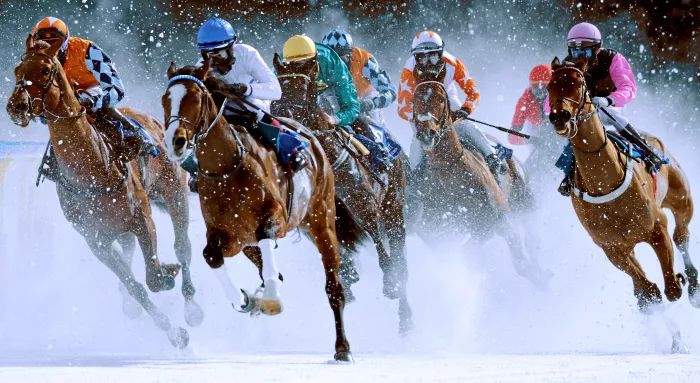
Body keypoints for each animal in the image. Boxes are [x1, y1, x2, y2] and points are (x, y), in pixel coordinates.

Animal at [6, 37, 200, 350]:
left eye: (46, 69)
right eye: (17, 69)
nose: (16, 106)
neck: (94, 168)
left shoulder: (142, 218)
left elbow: (154, 277)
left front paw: (168, 276)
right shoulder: (95, 240)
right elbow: (137, 287)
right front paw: (173, 332)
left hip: (174, 195)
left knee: (183, 247)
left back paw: (193, 307)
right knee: (129, 252)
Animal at [161, 62, 352, 364]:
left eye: (196, 98)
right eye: (165, 100)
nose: (175, 141)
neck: (227, 167)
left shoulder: (274, 218)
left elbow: (268, 241)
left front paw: (271, 299)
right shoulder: (228, 234)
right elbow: (211, 255)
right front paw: (244, 299)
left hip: (322, 221)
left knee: (334, 286)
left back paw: (342, 347)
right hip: (247, 241)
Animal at [266, 53, 410, 336]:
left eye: (304, 89)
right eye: (279, 85)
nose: (281, 116)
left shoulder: (364, 203)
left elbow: (377, 240)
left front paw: (389, 282)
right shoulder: (311, 218)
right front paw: (349, 277)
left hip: (394, 208)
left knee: (399, 257)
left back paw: (405, 318)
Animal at [408, 63, 548, 290]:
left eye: (440, 98)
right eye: (414, 100)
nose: (426, 134)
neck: (449, 174)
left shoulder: (498, 217)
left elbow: (519, 258)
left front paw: (540, 278)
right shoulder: (442, 237)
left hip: (523, 198)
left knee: (531, 233)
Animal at [548, 55, 696, 352]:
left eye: (579, 83)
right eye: (549, 86)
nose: (560, 116)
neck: (605, 182)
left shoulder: (656, 228)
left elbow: (671, 288)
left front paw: (680, 283)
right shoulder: (613, 248)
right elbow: (649, 293)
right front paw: (675, 339)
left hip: (682, 197)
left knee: (682, 236)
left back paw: (694, 286)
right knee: (645, 291)